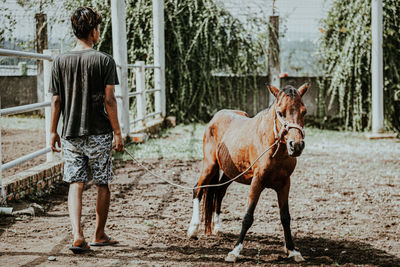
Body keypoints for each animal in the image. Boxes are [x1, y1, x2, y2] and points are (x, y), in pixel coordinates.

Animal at [188, 84, 310, 264]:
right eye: (280, 112)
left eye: (304, 111)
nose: (296, 145)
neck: (274, 150)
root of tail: (216, 117)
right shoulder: (257, 183)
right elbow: (247, 217)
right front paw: (235, 252)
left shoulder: (284, 184)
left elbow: (285, 217)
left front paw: (293, 251)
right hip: (210, 165)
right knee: (198, 189)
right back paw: (193, 228)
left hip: (230, 173)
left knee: (219, 192)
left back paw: (218, 227)